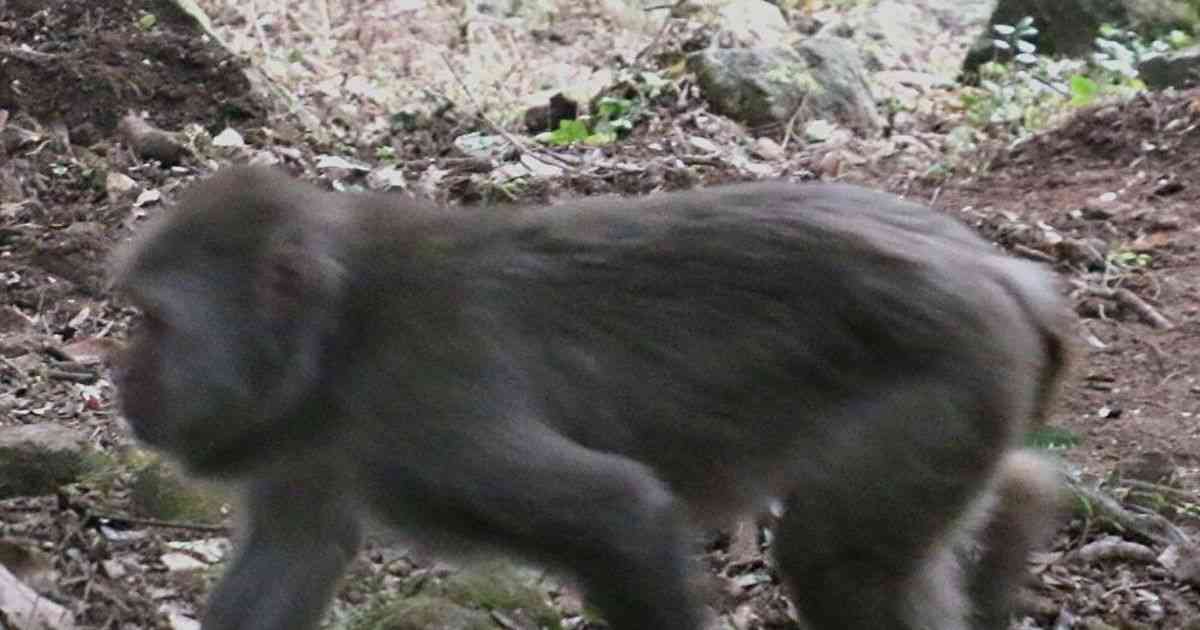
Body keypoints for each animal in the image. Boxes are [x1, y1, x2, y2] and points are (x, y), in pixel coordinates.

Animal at [110, 165, 1072, 630]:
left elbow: (621, 511)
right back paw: (1022, 506)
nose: (123, 375)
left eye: (153, 322)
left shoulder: (424, 405)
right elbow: (296, 552)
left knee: (840, 564)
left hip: (949, 375)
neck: (338, 337)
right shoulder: (309, 437)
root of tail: (1001, 271)